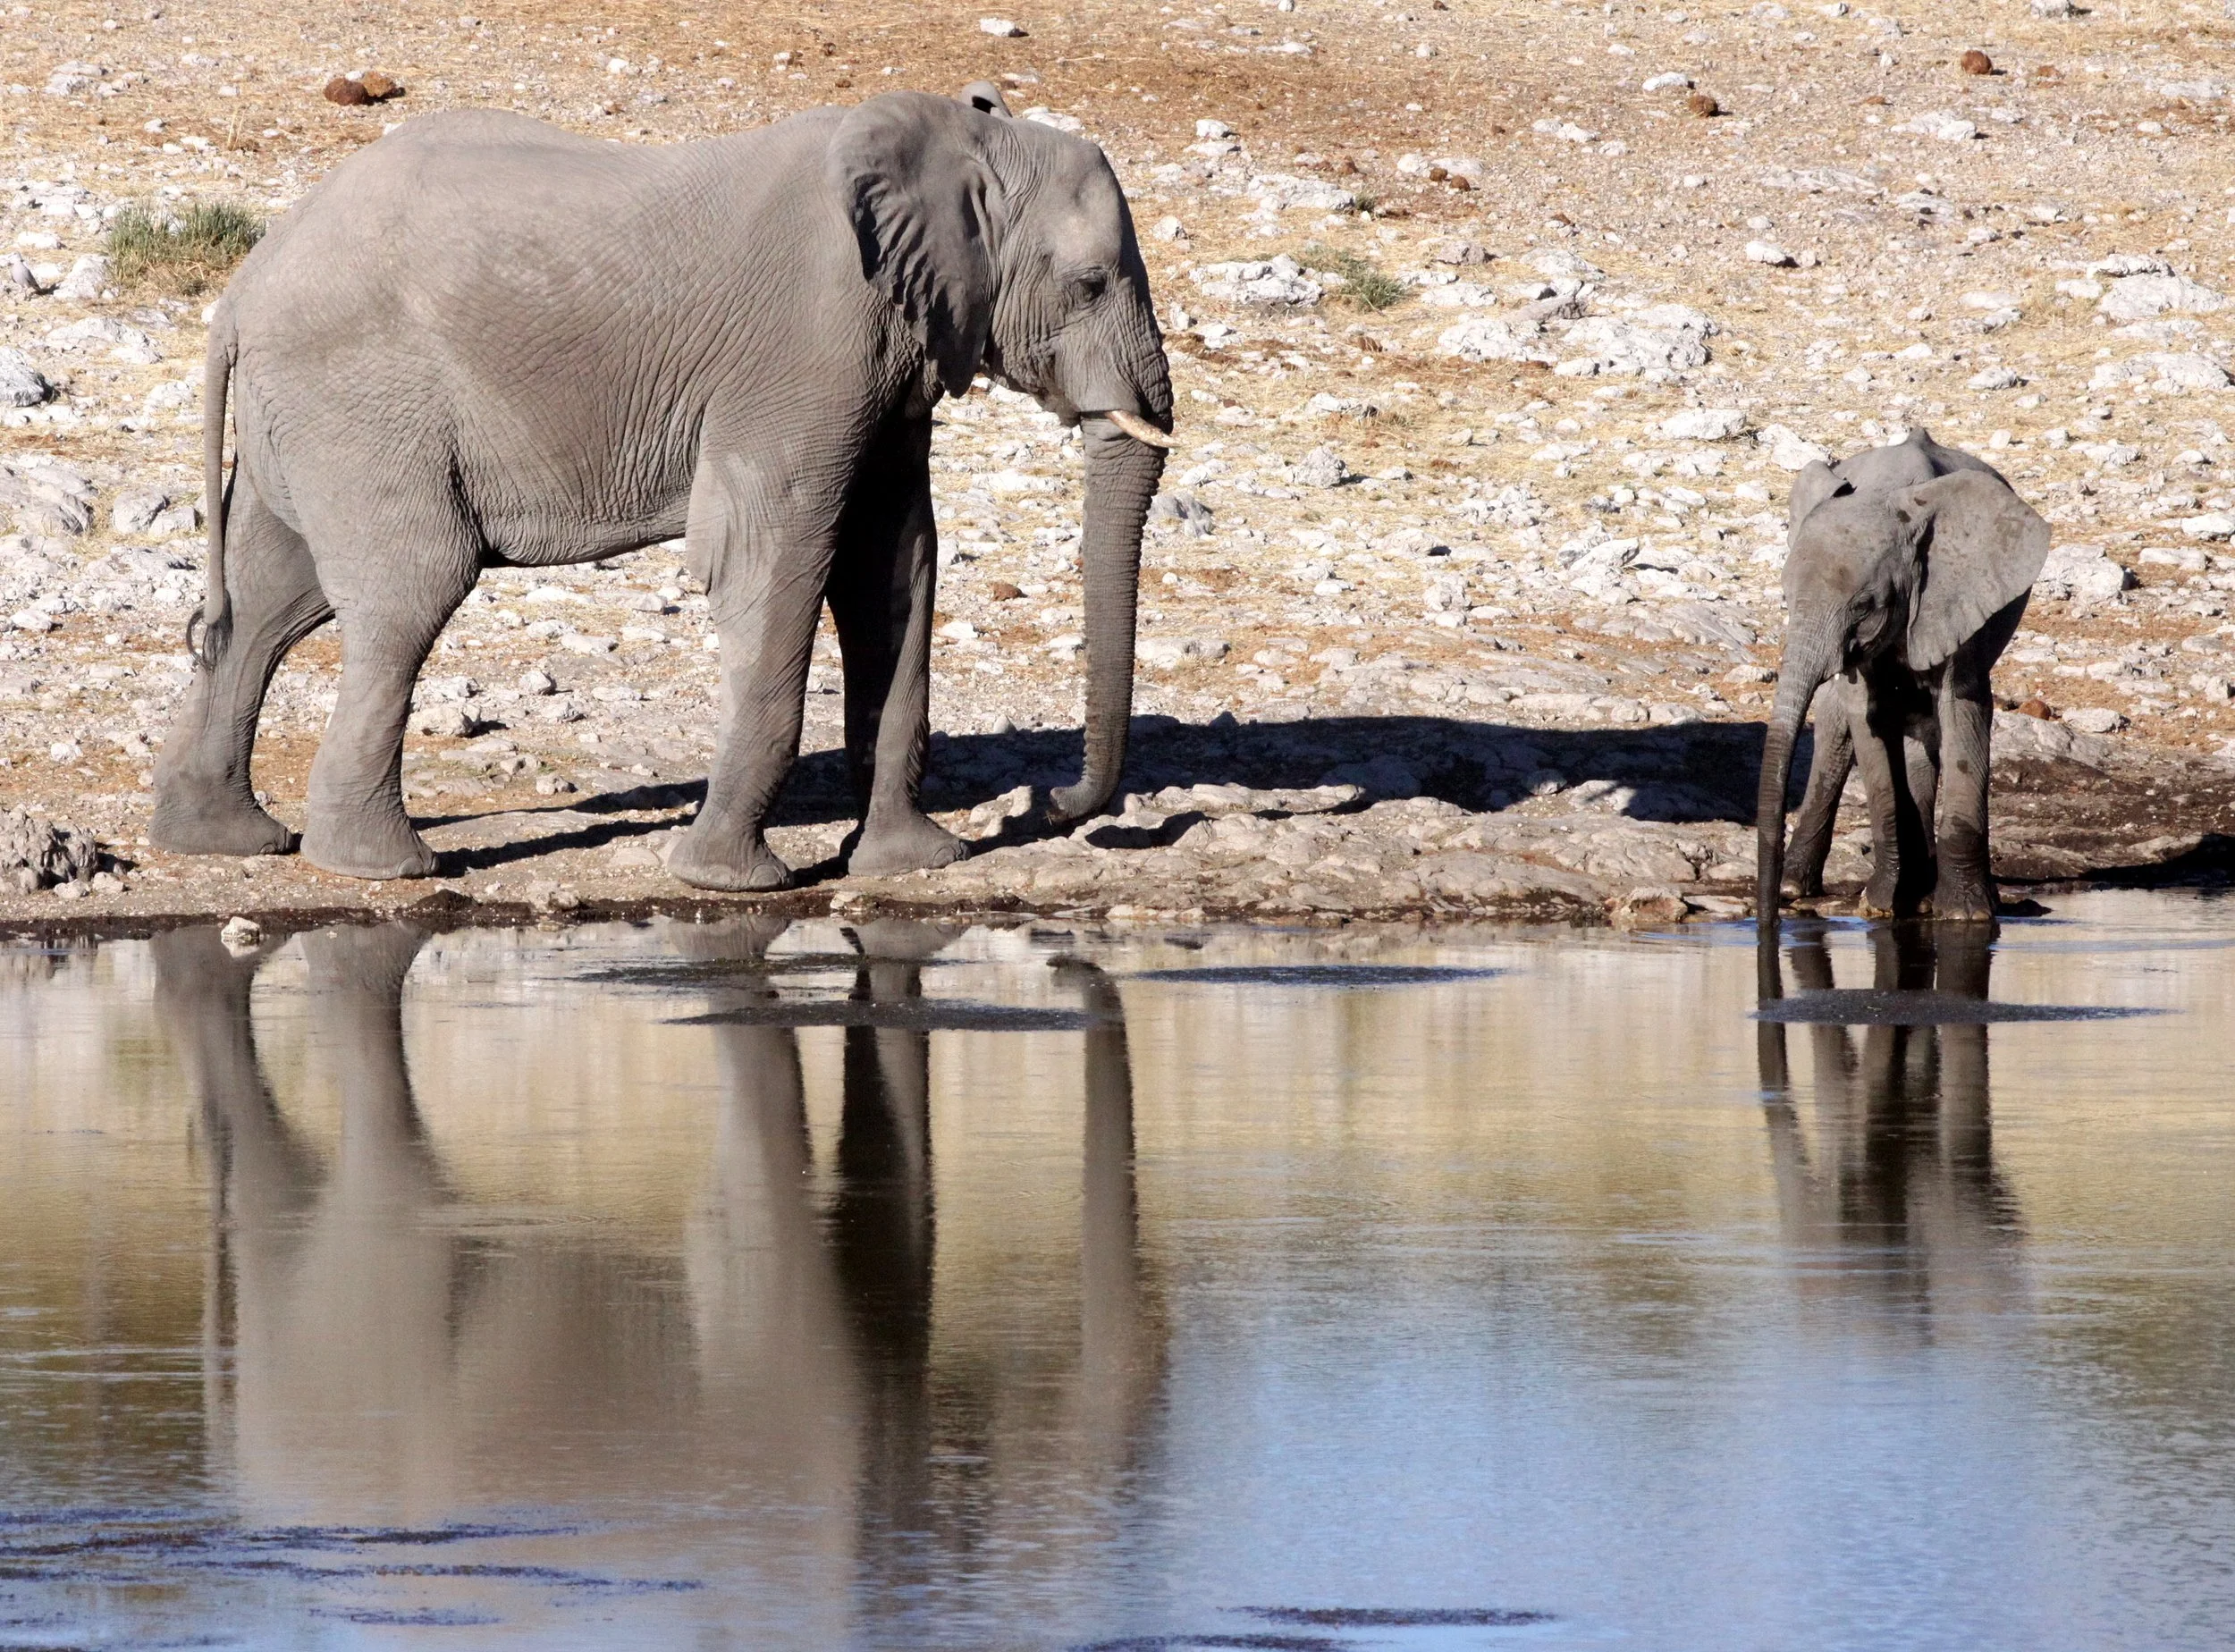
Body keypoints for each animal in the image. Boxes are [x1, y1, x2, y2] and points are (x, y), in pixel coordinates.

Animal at [151, 83, 1173, 888]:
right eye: (1089, 284)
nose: (1050, 804)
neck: (959, 138)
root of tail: (240, 292)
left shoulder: (891, 359)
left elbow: (892, 567)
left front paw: (910, 865)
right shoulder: (808, 345)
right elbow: (774, 558)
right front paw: (729, 882)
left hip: (309, 417)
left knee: (269, 600)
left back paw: (226, 841)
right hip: (360, 403)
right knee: (409, 591)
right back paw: (384, 866)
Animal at [1756, 429, 2049, 928]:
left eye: (1864, 606)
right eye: (1786, 598)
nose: (1768, 924)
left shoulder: (1953, 598)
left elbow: (1962, 713)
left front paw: (1966, 915)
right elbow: (1866, 720)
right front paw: (1883, 903)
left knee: (1925, 732)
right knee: (1837, 725)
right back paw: (1799, 886)